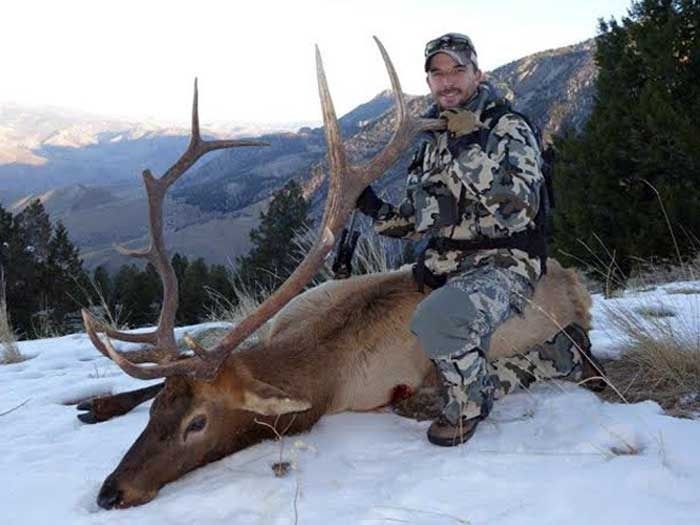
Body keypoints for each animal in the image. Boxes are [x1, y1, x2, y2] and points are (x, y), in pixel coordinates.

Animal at [79, 38, 594, 510]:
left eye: (198, 422)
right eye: (158, 412)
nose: (110, 492)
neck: (326, 368)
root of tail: (573, 278)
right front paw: (103, 404)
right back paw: (92, 404)